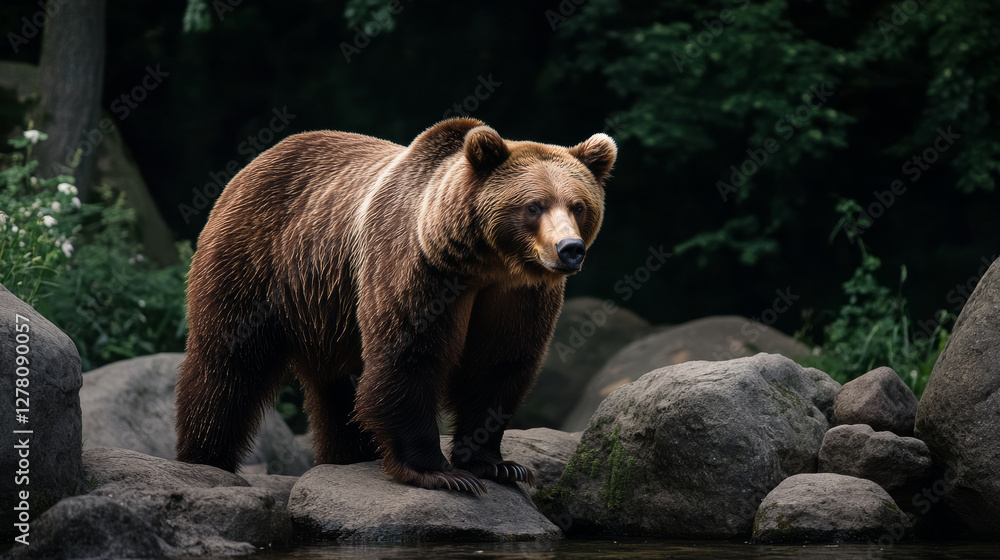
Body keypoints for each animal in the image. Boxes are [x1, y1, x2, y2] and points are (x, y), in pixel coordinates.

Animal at [175, 117, 616, 494]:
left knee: (334, 387)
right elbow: (410, 355)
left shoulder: (518, 296)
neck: (486, 263)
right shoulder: (420, 268)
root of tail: (254, 164)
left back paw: (345, 456)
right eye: (533, 205)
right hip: (253, 263)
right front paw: (439, 472)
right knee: (227, 365)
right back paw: (205, 458)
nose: (569, 249)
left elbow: (498, 364)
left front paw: (499, 465)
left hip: (325, 311)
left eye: (578, 205)